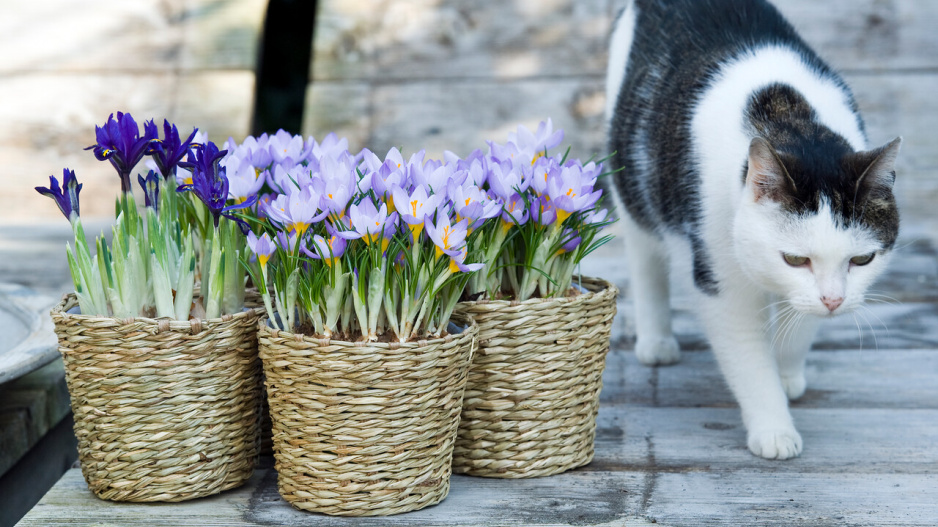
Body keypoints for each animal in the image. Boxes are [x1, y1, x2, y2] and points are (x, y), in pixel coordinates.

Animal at [608, 0, 900, 460]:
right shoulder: (721, 279)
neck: (791, 119)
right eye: (795, 259)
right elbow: (748, 358)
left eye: (862, 259)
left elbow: (801, 325)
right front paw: (774, 426)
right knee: (645, 258)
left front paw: (787, 371)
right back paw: (656, 340)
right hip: (632, 182)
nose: (835, 301)